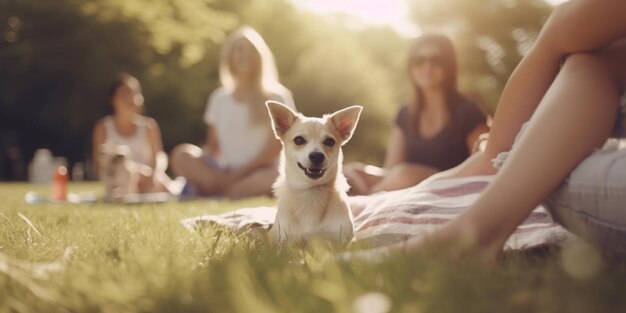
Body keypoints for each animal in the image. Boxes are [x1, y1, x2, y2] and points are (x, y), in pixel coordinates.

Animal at [264, 100, 360, 246]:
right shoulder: (283, 243)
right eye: (298, 140)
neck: (311, 191)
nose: (317, 156)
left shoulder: (340, 241)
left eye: (330, 142)